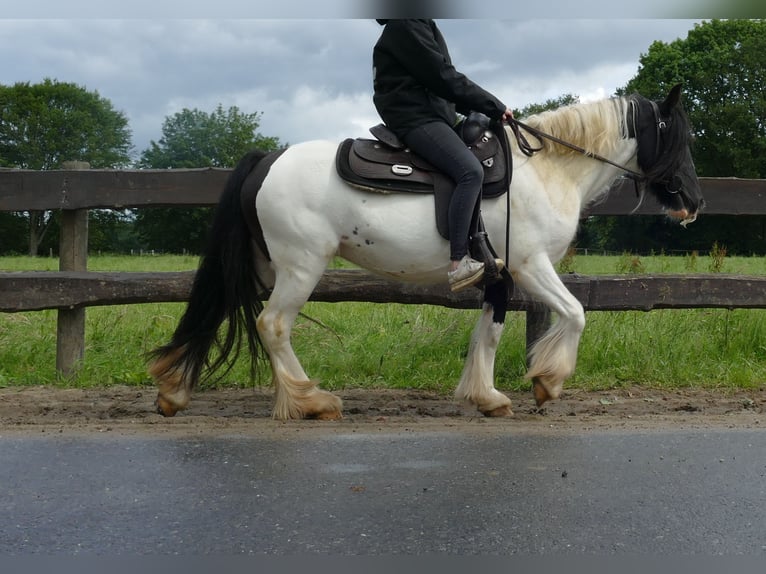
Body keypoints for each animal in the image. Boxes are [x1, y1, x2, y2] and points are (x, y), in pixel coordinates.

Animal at [150, 83, 708, 420]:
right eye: (678, 139)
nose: (694, 202)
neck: (546, 168)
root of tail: (269, 159)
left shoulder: (500, 274)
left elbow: (489, 332)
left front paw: (487, 397)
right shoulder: (530, 266)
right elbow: (574, 313)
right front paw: (547, 383)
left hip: (265, 266)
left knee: (220, 308)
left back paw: (174, 392)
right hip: (300, 266)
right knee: (273, 325)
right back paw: (310, 400)